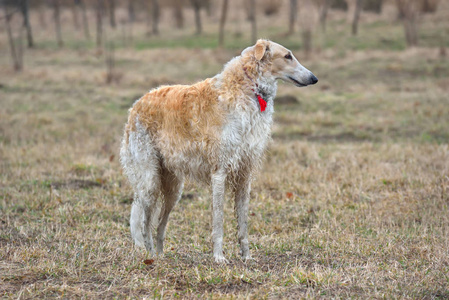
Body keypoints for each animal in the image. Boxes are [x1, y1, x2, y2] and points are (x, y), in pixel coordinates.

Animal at [117, 39, 316, 262]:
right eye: (288, 56)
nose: (314, 78)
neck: (248, 89)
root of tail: (136, 105)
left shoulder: (244, 174)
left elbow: (243, 224)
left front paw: (246, 256)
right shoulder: (219, 172)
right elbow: (219, 221)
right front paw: (219, 257)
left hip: (173, 188)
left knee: (160, 224)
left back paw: (160, 255)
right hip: (150, 181)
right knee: (145, 223)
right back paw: (150, 256)